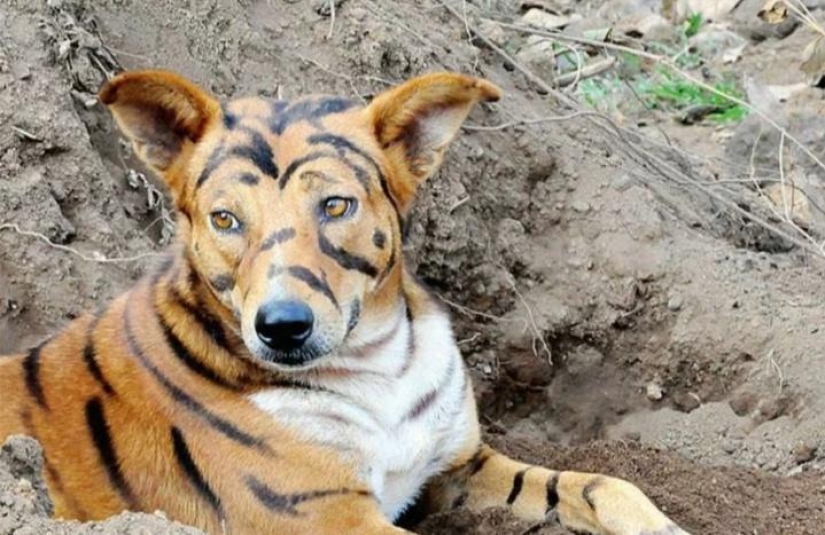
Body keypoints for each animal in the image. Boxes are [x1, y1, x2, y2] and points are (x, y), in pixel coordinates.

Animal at [0, 69, 691, 535]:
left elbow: (599, 484)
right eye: (225, 219)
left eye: (335, 206)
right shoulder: (327, 516)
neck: (376, 366)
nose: (282, 327)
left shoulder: (456, 467)